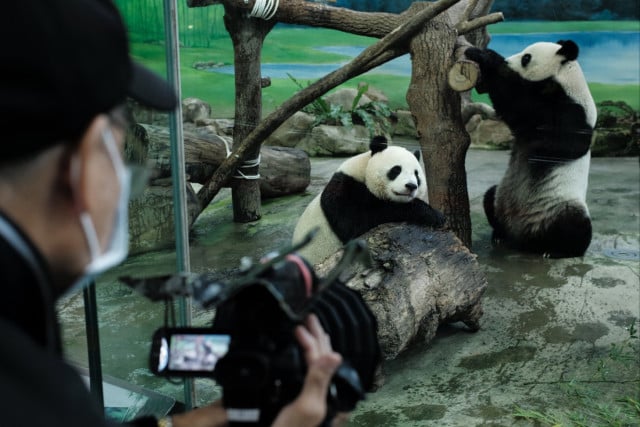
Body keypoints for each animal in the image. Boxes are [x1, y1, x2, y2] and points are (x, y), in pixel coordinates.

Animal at [292, 136, 444, 264]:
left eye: (416, 174)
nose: (411, 186)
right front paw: (432, 215)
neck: (363, 171)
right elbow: (359, 222)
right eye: (396, 170)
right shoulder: (343, 191)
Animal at [464, 40, 596, 260]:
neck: (565, 82)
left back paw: (555, 251)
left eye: (526, 58)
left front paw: (486, 57)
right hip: (502, 196)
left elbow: (522, 106)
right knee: (490, 196)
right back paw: (499, 235)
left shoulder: (572, 114)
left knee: (576, 225)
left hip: (559, 204)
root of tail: (522, 235)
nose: (509, 61)